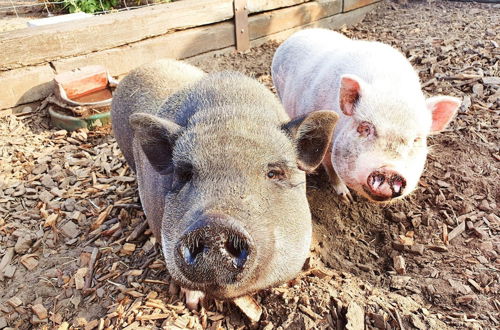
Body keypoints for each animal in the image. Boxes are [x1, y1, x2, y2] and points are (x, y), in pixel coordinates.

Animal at [274, 29, 460, 201]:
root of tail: (299, 33)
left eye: (416, 140)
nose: (389, 171)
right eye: (365, 128)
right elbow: (332, 170)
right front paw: (346, 198)